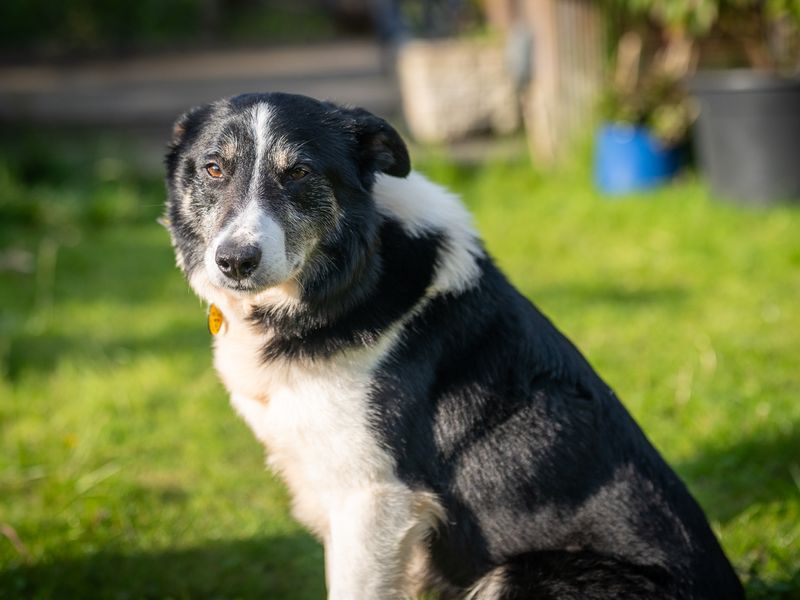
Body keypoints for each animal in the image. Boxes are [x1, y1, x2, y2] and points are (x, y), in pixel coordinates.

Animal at [164, 91, 744, 596]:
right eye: (214, 169)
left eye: (299, 173)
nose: (235, 262)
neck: (350, 277)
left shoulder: (375, 496)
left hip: (516, 576)